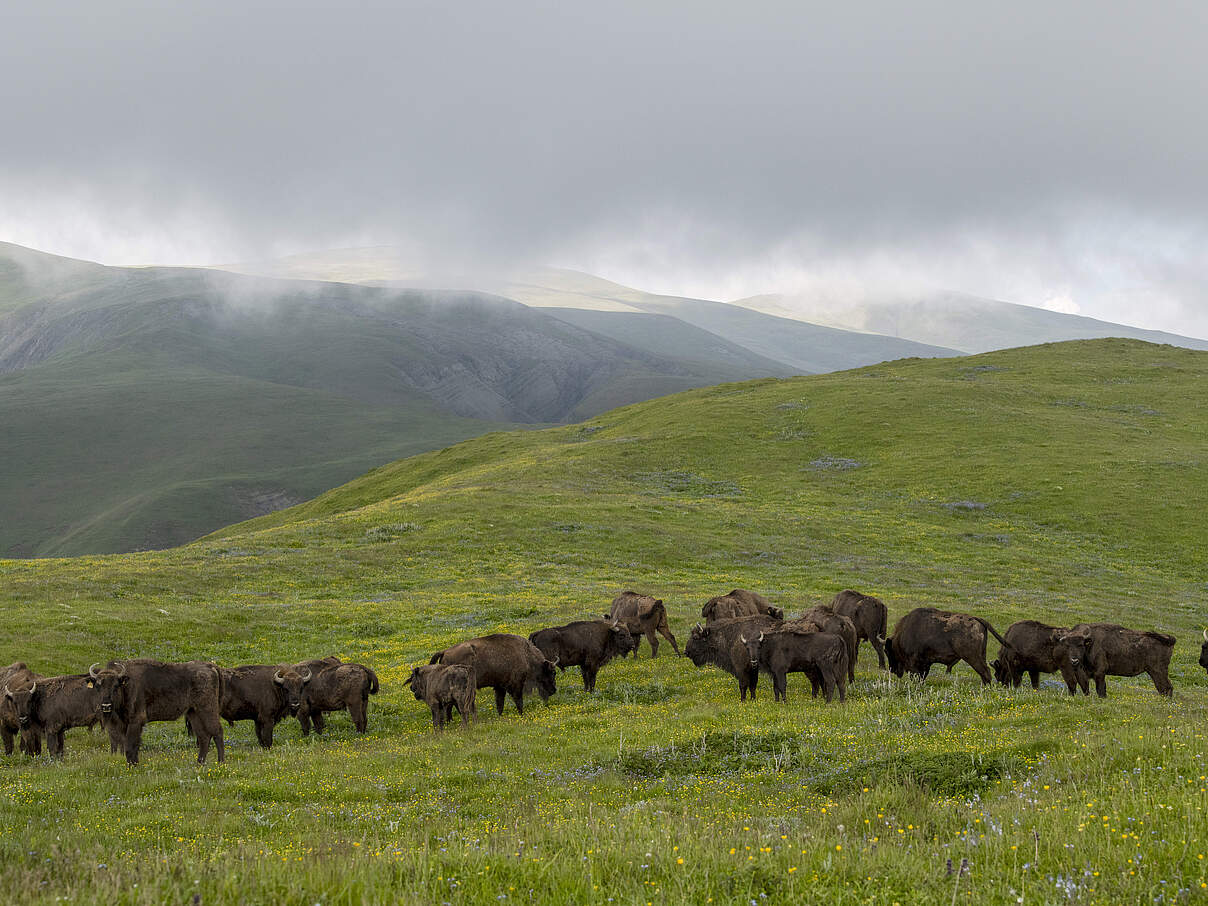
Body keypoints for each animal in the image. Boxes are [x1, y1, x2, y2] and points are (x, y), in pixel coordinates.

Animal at [90, 661, 225, 768]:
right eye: (98, 686)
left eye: (115, 686)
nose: (106, 706)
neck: (127, 685)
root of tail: (211, 666)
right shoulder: (125, 724)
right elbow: (130, 745)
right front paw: (133, 764)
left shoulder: (135, 722)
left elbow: (130, 746)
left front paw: (133, 766)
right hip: (193, 712)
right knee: (204, 737)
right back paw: (199, 763)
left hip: (207, 709)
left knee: (217, 732)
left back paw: (221, 762)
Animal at [879, 606, 1009, 686]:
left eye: (887, 651)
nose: (892, 669)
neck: (902, 633)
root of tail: (977, 619)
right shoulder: (925, 664)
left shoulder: (914, 663)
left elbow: (916, 676)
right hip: (981, 655)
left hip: (972, 657)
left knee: (985, 672)